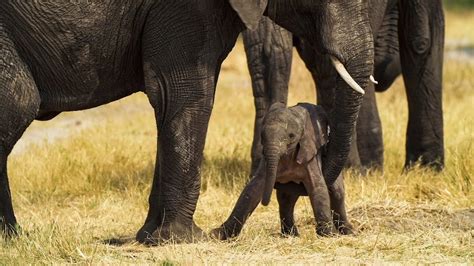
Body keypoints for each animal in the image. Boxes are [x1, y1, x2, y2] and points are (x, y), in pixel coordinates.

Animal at [213, 102, 354, 239]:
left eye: (291, 136)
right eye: (262, 136)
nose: (265, 203)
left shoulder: (310, 153)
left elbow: (317, 187)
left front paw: (329, 235)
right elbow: (253, 189)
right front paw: (218, 234)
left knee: (336, 192)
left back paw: (348, 231)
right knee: (286, 198)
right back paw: (290, 235)